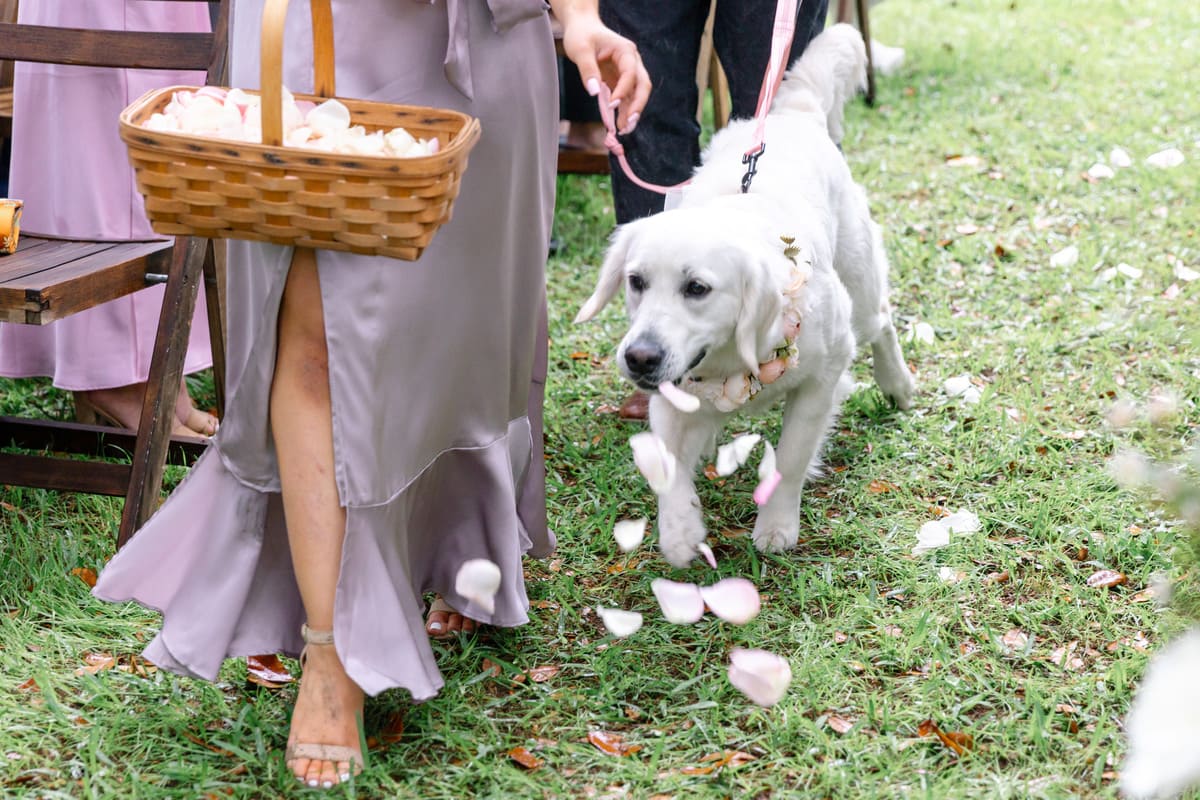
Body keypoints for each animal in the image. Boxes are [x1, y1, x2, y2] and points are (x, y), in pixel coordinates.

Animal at [576, 21, 912, 566]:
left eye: (697, 288)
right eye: (636, 282)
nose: (639, 358)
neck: (735, 356)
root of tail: (789, 115)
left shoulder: (822, 377)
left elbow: (791, 458)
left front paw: (776, 525)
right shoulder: (671, 397)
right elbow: (668, 469)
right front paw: (680, 531)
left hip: (857, 294)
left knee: (881, 321)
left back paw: (897, 383)